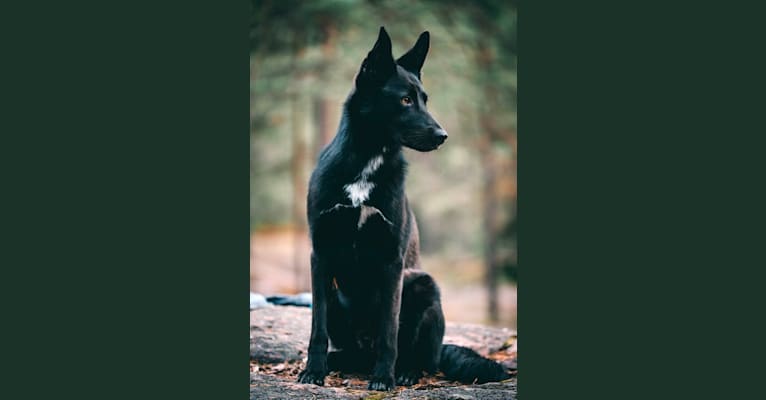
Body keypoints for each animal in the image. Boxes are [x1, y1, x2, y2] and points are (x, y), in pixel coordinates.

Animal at [298, 27, 510, 390]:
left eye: (425, 99)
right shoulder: (321, 255)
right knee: (348, 349)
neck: (366, 163)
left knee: (422, 357)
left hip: (423, 284)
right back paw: (340, 362)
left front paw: (384, 378)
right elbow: (317, 327)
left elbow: (389, 331)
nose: (443, 135)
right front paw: (314, 370)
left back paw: (405, 371)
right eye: (405, 100)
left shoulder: (392, 261)